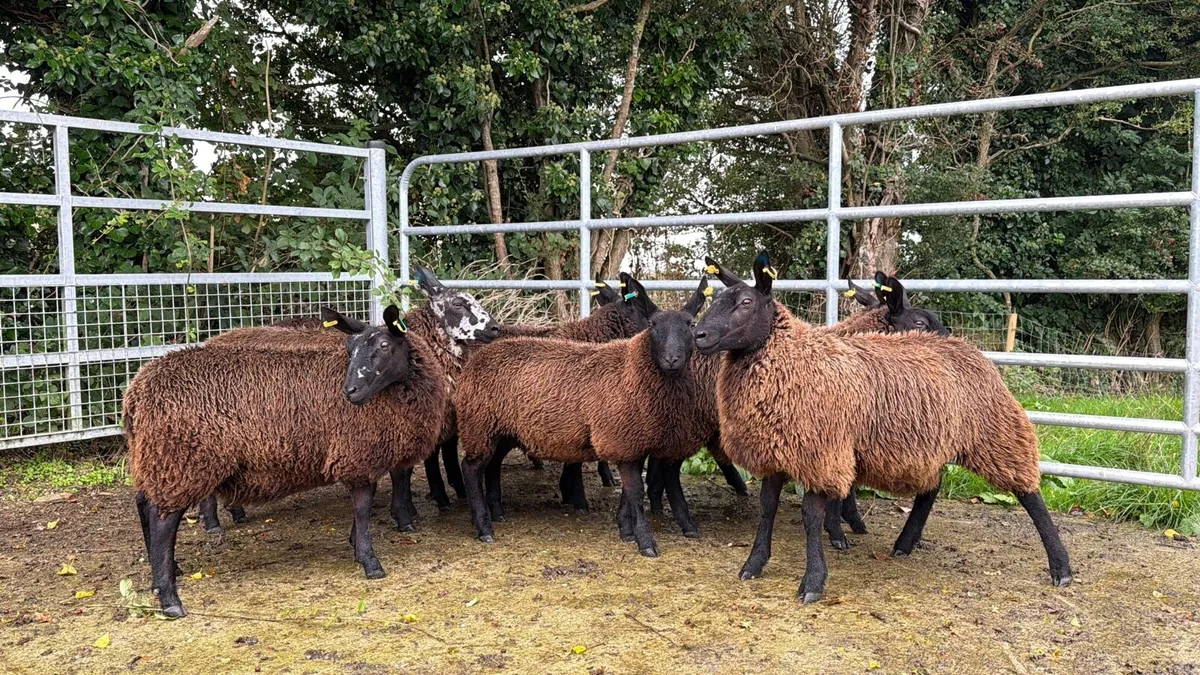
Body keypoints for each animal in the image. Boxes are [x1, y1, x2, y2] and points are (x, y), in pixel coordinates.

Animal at [124, 305, 446, 617]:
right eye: (350, 348)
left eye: (383, 344)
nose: (350, 391)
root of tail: (136, 393)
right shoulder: (356, 454)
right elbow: (363, 506)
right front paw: (369, 561)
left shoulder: (362, 459)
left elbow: (363, 506)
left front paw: (356, 544)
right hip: (182, 460)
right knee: (163, 521)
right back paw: (170, 600)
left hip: (158, 458)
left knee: (144, 503)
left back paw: (164, 576)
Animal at [456, 275, 713, 556]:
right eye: (653, 326)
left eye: (691, 325)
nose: (672, 359)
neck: (633, 372)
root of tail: (476, 360)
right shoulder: (621, 439)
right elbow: (635, 494)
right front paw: (645, 542)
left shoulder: (633, 442)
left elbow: (629, 493)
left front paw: (625, 530)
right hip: (478, 423)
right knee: (470, 469)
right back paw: (484, 527)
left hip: (503, 430)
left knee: (491, 465)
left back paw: (496, 512)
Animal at [693, 251, 1071, 603]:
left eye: (745, 303)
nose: (698, 334)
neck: (793, 358)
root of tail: (968, 349)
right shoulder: (778, 448)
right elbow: (768, 507)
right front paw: (754, 564)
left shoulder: (822, 452)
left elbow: (811, 516)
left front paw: (814, 579)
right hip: (932, 442)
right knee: (931, 489)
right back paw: (905, 543)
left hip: (995, 430)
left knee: (1029, 493)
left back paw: (1061, 567)